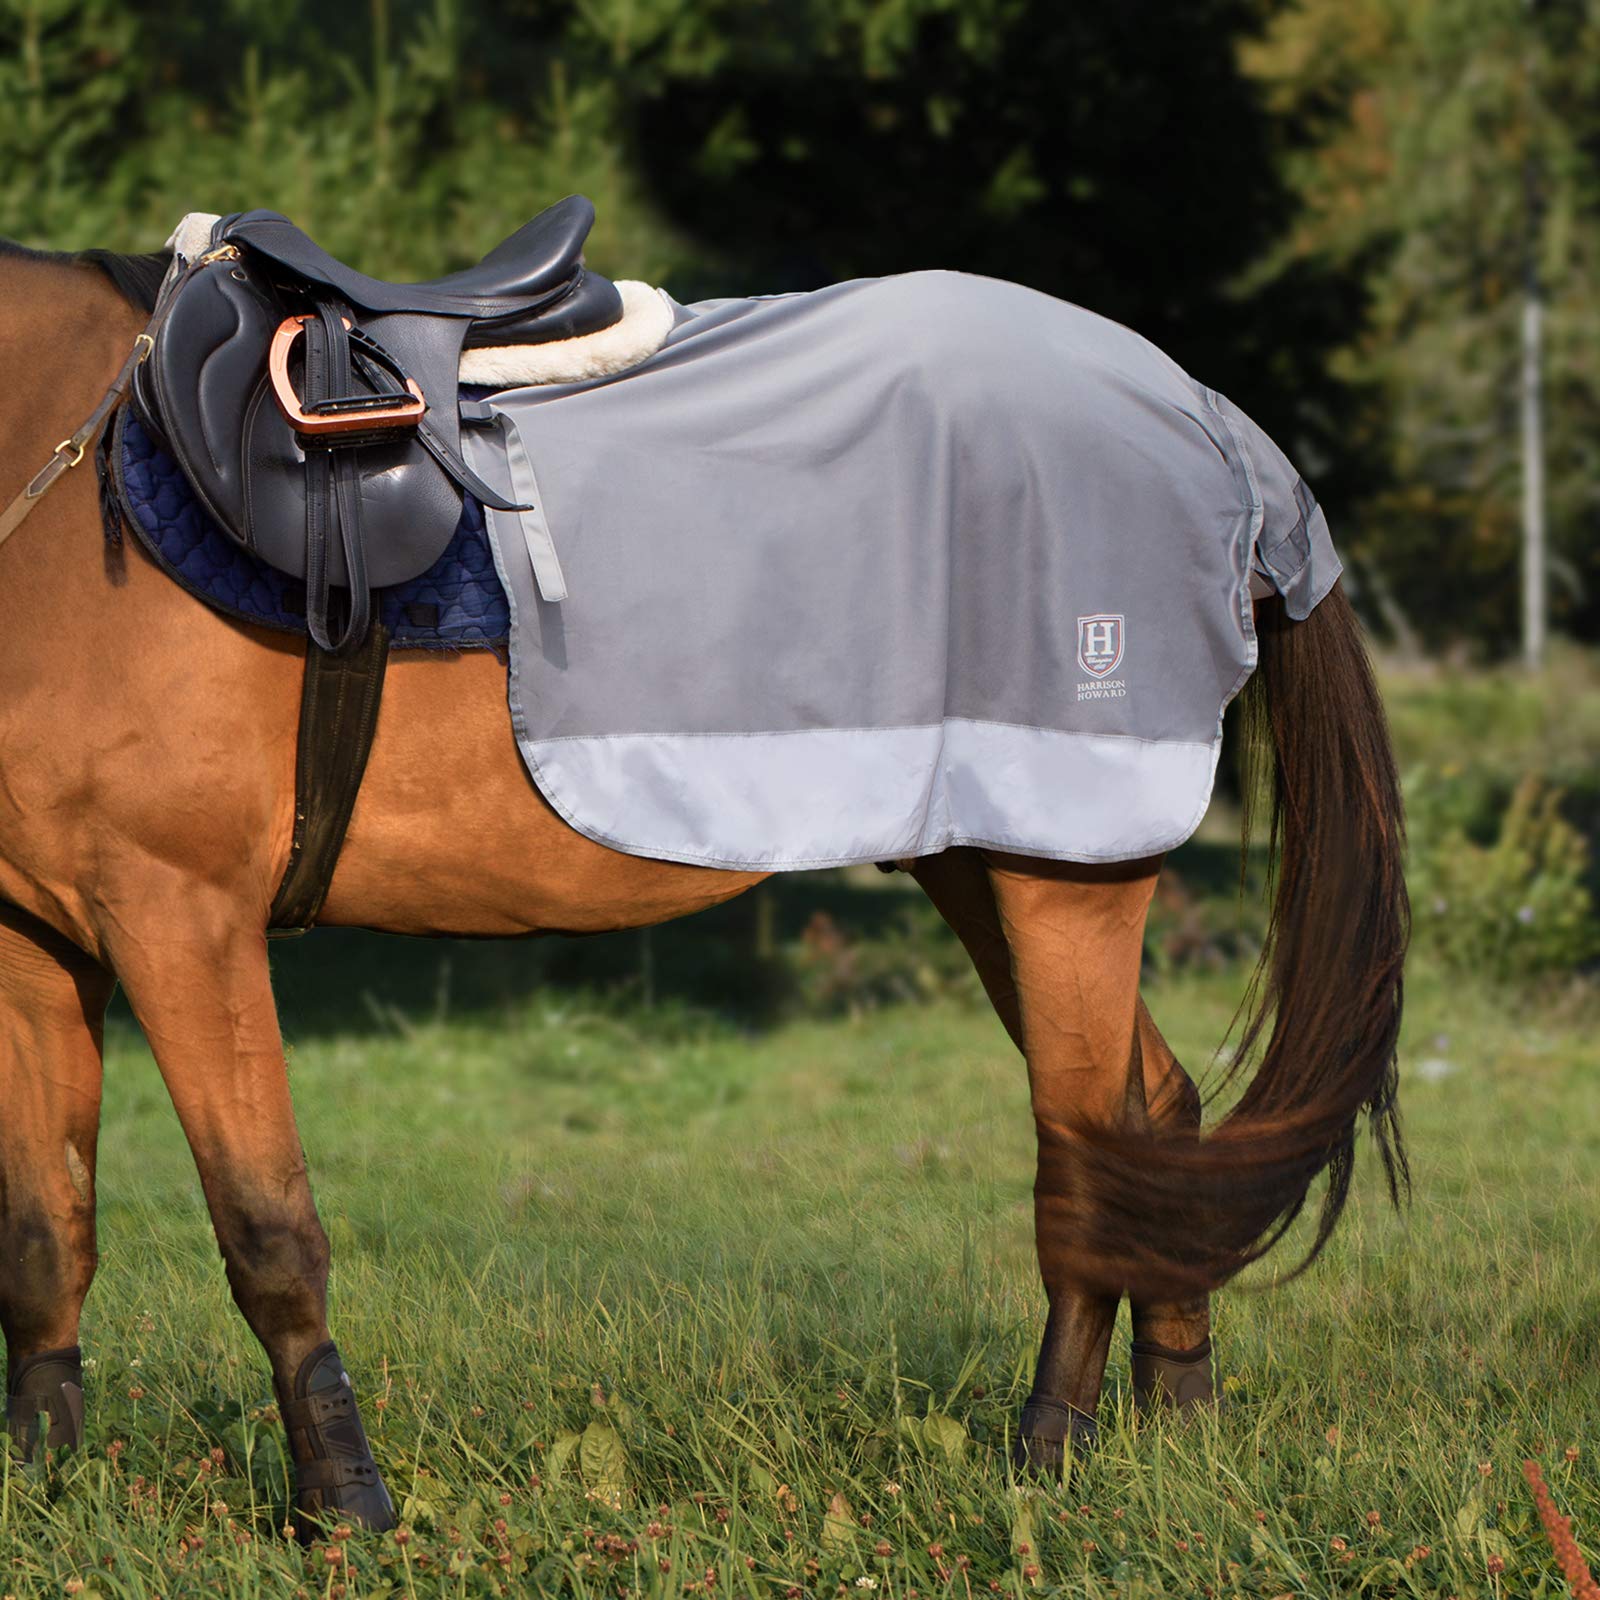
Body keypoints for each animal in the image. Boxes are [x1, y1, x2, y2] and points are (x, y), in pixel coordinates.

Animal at [0, 239, 1407, 1533]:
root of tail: (1204, 417)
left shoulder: (182, 915)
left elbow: (266, 1228)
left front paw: (343, 1502)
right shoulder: (38, 943)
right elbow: (45, 1228)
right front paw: (42, 1477)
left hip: (1065, 869)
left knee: (1087, 1144)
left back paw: (1047, 1452)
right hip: (982, 859)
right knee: (1157, 1118)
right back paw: (1179, 1424)